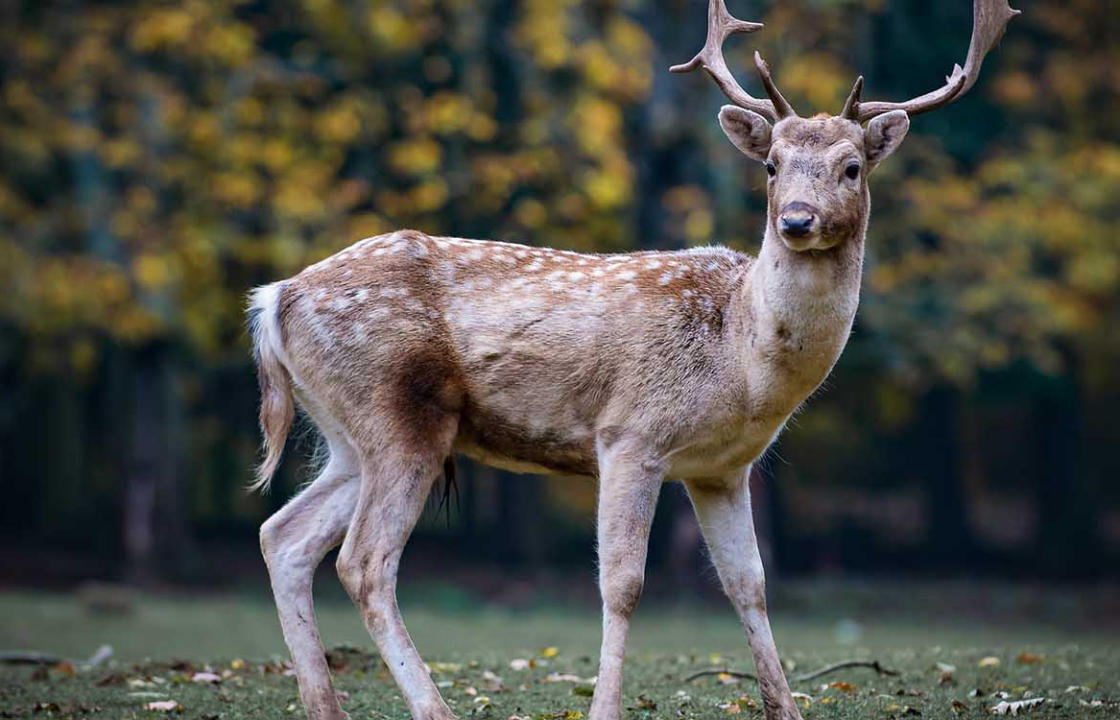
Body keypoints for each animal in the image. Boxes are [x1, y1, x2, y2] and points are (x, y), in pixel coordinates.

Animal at [249, 2, 1021, 716]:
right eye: (771, 166)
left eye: (852, 167)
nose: (796, 220)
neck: (741, 360)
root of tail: (275, 298)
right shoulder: (630, 435)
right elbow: (623, 585)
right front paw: (603, 706)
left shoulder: (721, 469)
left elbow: (750, 584)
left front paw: (786, 706)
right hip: (397, 413)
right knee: (364, 562)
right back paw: (430, 706)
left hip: (349, 434)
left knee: (283, 535)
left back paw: (324, 703)